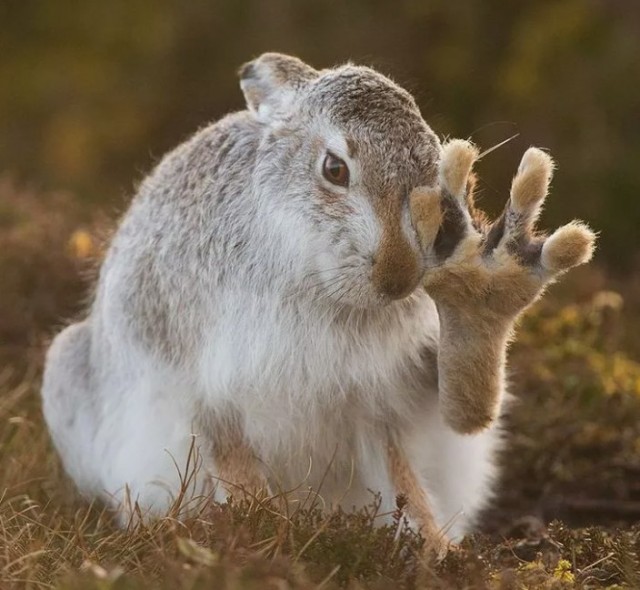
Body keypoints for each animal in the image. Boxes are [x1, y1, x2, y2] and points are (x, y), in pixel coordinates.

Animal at [41, 52, 595, 555]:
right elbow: (234, 467)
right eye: (334, 169)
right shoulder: (205, 388)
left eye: (436, 174)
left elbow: (448, 435)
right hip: (66, 370)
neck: (320, 283)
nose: (398, 278)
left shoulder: (383, 402)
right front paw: (256, 531)